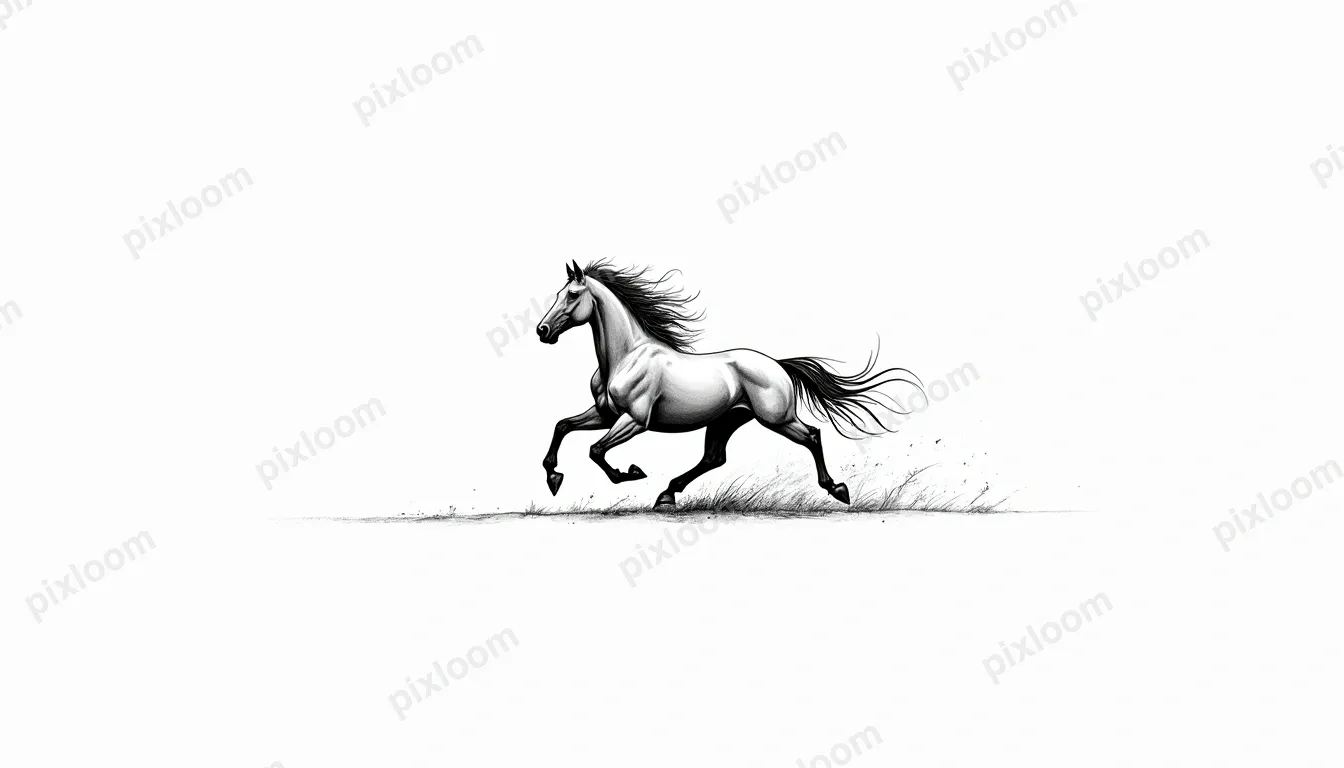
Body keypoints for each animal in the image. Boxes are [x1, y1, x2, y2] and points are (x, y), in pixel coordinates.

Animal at [536, 260, 922, 509]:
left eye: (572, 295)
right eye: (557, 293)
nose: (542, 330)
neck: (627, 355)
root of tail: (778, 365)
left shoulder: (634, 420)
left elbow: (595, 451)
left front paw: (630, 473)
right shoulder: (604, 414)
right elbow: (562, 426)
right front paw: (554, 477)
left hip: (776, 418)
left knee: (811, 436)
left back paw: (839, 490)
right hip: (727, 419)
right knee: (713, 457)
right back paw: (667, 494)